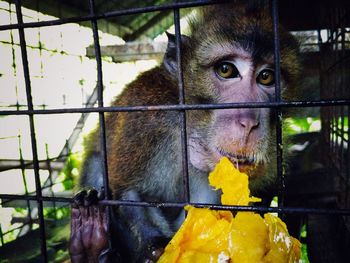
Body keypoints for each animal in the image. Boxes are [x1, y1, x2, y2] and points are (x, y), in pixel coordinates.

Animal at [69, 2, 300, 263]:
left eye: (266, 77)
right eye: (226, 70)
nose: (248, 122)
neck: (192, 128)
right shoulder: (145, 116)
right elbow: (124, 191)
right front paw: (156, 248)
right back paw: (89, 243)